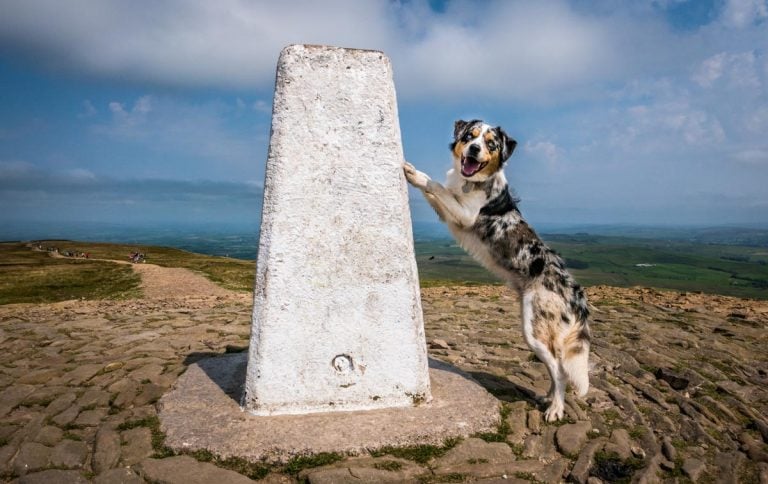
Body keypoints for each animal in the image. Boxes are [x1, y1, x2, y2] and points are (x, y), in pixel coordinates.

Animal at [404, 120, 592, 420]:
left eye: (491, 144)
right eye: (469, 136)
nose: (474, 148)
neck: (471, 182)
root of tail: (576, 293)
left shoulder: (465, 214)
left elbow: (436, 185)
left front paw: (413, 173)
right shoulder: (448, 214)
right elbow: (437, 192)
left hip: (536, 329)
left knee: (561, 370)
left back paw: (556, 409)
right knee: (554, 368)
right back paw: (548, 398)